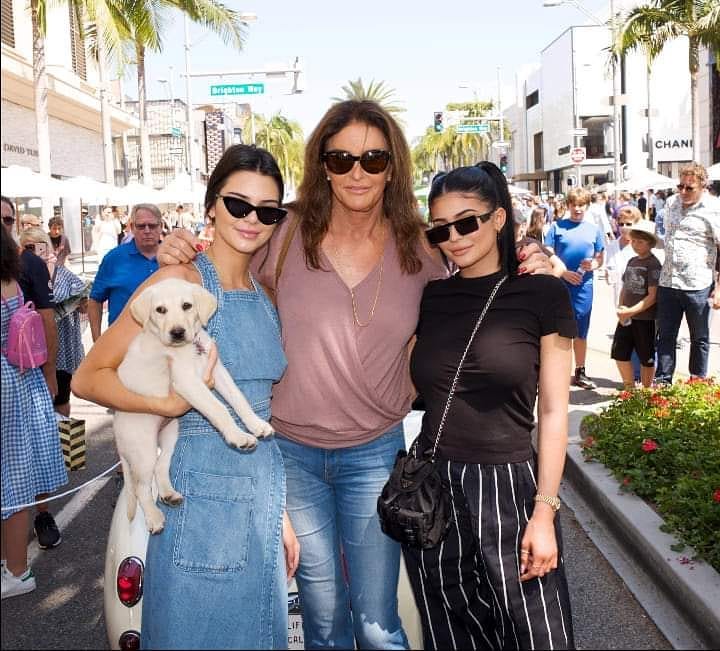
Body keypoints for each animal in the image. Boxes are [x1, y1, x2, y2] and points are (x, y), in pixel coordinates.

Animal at [115, 278, 272, 536]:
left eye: (187, 306)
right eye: (160, 310)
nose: (177, 333)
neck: (189, 348)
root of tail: (116, 427)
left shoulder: (216, 370)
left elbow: (238, 399)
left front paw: (257, 425)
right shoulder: (187, 381)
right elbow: (219, 409)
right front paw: (239, 437)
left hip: (170, 434)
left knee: (160, 467)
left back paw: (169, 494)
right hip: (142, 448)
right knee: (141, 487)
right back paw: (154, 518)